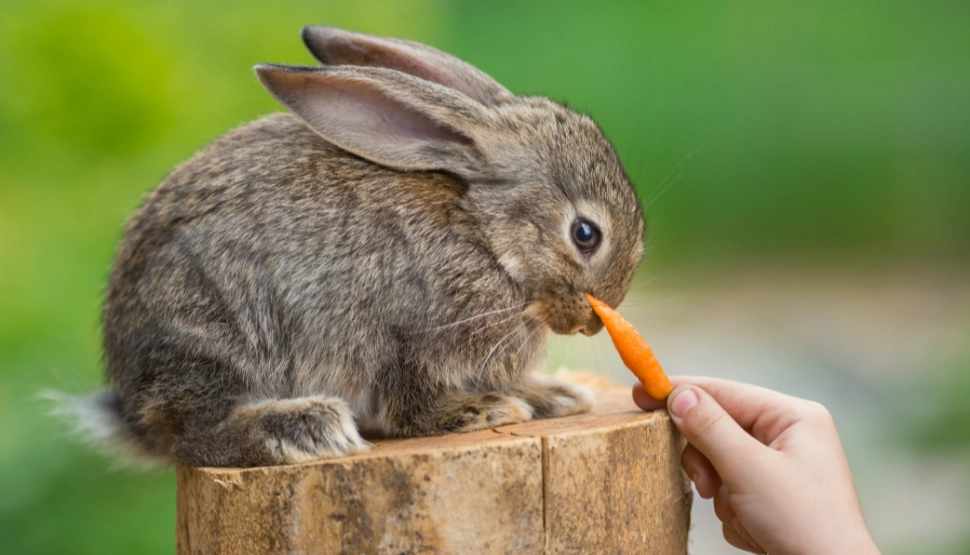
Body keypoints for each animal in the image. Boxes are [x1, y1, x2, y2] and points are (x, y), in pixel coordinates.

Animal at [73, 26, 645, 468]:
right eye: (585, 234)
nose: (592, 321)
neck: (486, 235)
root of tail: (128, 405)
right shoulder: (406, 340)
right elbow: (412, 405)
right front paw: (483, 412)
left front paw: (552, 396)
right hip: (211, 331)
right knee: (194, 436)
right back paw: (302, 427)